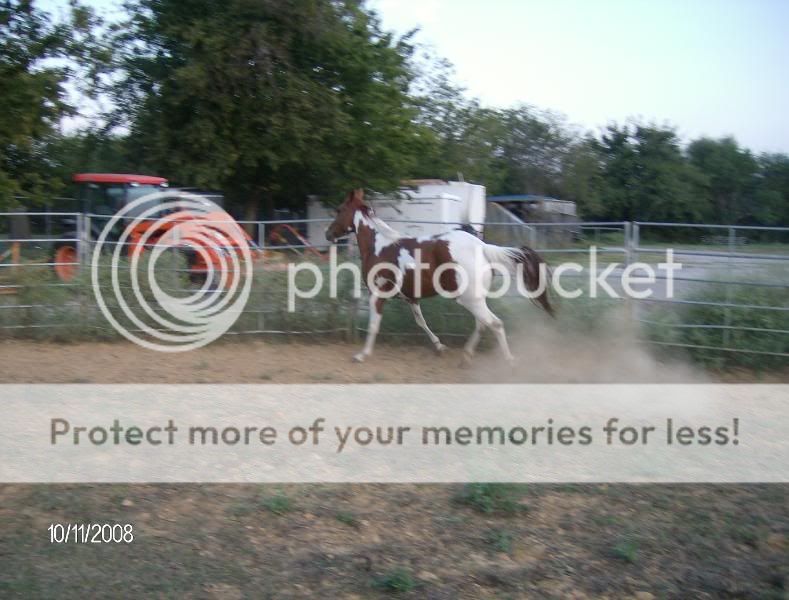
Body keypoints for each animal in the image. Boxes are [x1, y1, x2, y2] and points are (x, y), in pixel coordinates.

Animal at [324, 190, 552, 364]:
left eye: (340, 210)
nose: (328, 234)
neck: (379, 246)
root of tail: (483, 247)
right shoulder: (411, 297)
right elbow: (421, 322)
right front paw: (440, 347)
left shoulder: (378, 294)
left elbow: (373, 326)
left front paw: (361, 355)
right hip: (475, 299)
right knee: (482, 324)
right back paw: (466, 356)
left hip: (469, 299)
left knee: (494, 324)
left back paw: (508, 361)